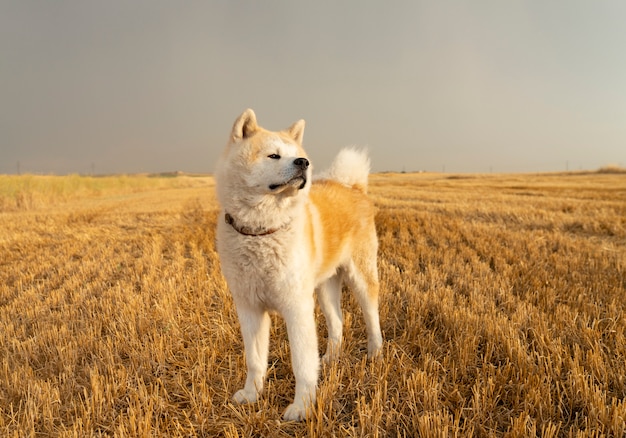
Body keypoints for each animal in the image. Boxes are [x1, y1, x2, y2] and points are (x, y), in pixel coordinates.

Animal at [213, 108, 380, 420]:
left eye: (297, 156)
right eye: (273, 156)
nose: (304, 163)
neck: (262, 231)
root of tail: (352, 187)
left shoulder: (296, 307)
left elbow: (301, 363)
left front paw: (301, 407)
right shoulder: (249, 308)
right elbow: (255, 360)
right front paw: (251, 395)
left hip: (361, 277)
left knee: (371, 316)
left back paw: (376, 353)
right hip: (325, 288)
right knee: (337, 323)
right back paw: (330, 359)